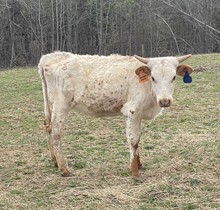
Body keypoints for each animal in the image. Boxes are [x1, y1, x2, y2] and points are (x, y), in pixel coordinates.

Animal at [37, 51, 192, 176]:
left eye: (173, 77)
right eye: (153, 77)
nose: (165, 101)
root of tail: (50, 57)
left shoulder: (139, 114)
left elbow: (138, 138)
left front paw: (139, 164)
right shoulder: (132, 110)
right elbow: (133, 140)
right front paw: (134, 171)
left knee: (47, 126)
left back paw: (55, 161)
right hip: (61, 105)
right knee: (55, 132)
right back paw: (64, 168)